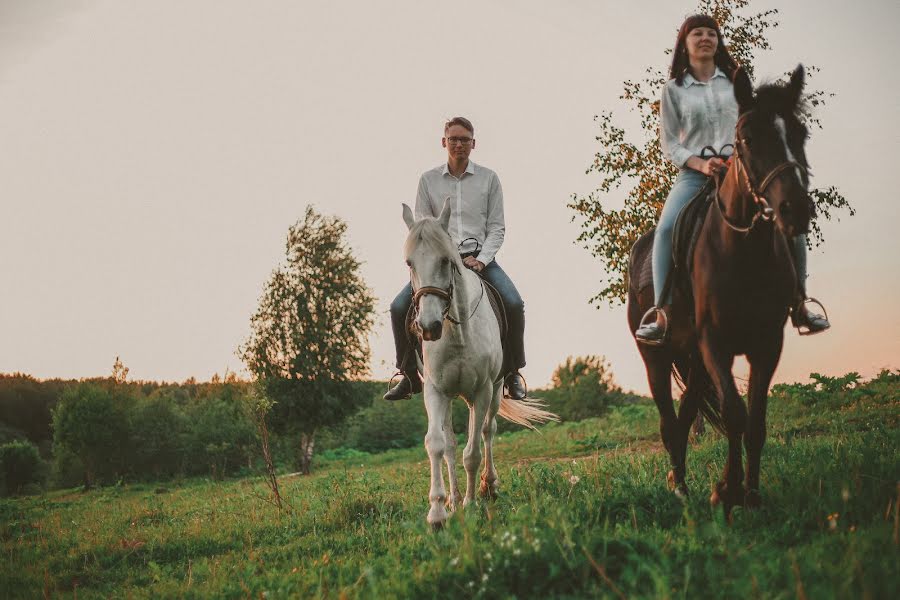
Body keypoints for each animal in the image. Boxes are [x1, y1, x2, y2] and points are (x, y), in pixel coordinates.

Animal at [400, 199, 556, 528]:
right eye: (410, 263)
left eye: (446, 260)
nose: (428, 326)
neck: (457, 331)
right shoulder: (435, 391)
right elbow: (437, 444)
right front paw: (439, 512)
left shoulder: (482, 390)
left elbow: (472, 452)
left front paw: (472, 505)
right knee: (450, 444)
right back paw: (454, 499)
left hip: (493, 391)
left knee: (487, 431)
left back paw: (489, 487)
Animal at [628, 67, 812, 516]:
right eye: (747, 137)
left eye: (800, 132)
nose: (796, 210)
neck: (743, 250)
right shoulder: (715, 343)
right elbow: (734, 413)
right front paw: (726, 492)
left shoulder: (767, 343)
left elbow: (756, 421)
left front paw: (752, 495)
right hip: (656, 358)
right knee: (668, 421)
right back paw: (680, 488)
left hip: (693, 362)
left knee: (685, 414)